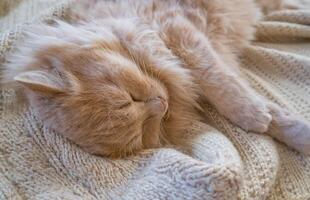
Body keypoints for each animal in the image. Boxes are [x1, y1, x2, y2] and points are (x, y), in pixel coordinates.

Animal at [3, 0, 310, 157]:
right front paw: (294, 132)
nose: (161, 104)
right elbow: (272, 112)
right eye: (142, 129)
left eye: (128, 98)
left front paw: (252, 114)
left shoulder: (183, 37)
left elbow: (218, 83)